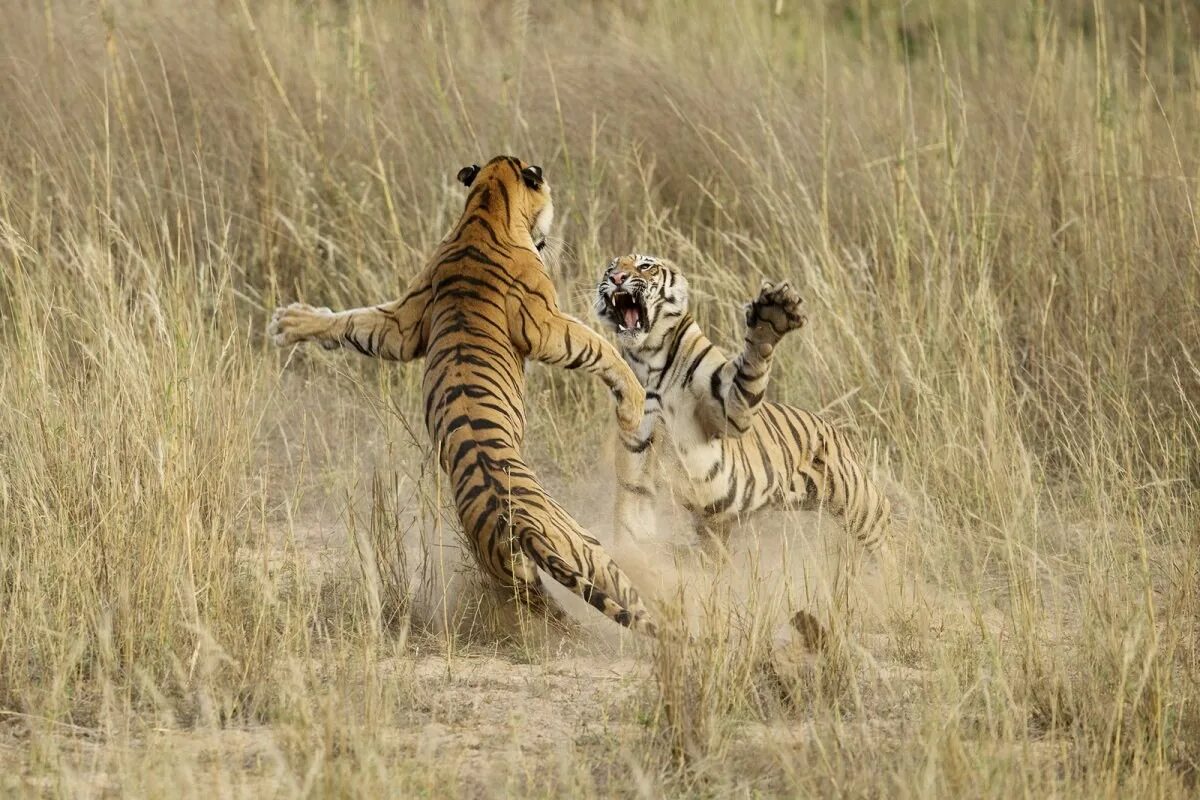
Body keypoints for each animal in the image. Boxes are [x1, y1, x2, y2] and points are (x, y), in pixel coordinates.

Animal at [270, 155, 657, 633]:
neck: (485, 206)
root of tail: (518, 526)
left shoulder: (403, 324)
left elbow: (354, 322)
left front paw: (293, 322)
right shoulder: (546, 325)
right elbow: (599, 347)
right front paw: (634, 403)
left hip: (521, 576)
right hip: (587, 547)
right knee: (630, 601)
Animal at [595, 256, 897, 556]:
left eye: (645, 266)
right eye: (611, 268)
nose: (617, 278)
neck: (650, 357)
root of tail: (837, 432)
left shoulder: (729, 410)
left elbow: (752, 365)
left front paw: (771, 315)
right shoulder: (638, 458)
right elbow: (633, 520)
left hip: (859, 502)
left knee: (885, 528)